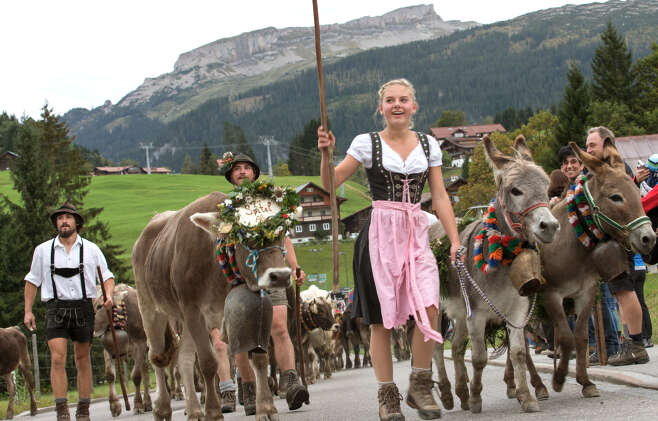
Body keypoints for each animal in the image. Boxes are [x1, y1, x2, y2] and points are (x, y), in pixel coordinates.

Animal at [133, 179, 302, 420]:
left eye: (282, 231)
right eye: (244, 234)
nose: (280, 276)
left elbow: (260, 358)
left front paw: (266, 408)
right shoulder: (193, 310)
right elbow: (208, 362)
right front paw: (213, 411)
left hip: (182, 320)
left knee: (184, 360)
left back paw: (194, 411)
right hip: (150, 308)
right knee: (157, 357)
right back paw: (163, 408)